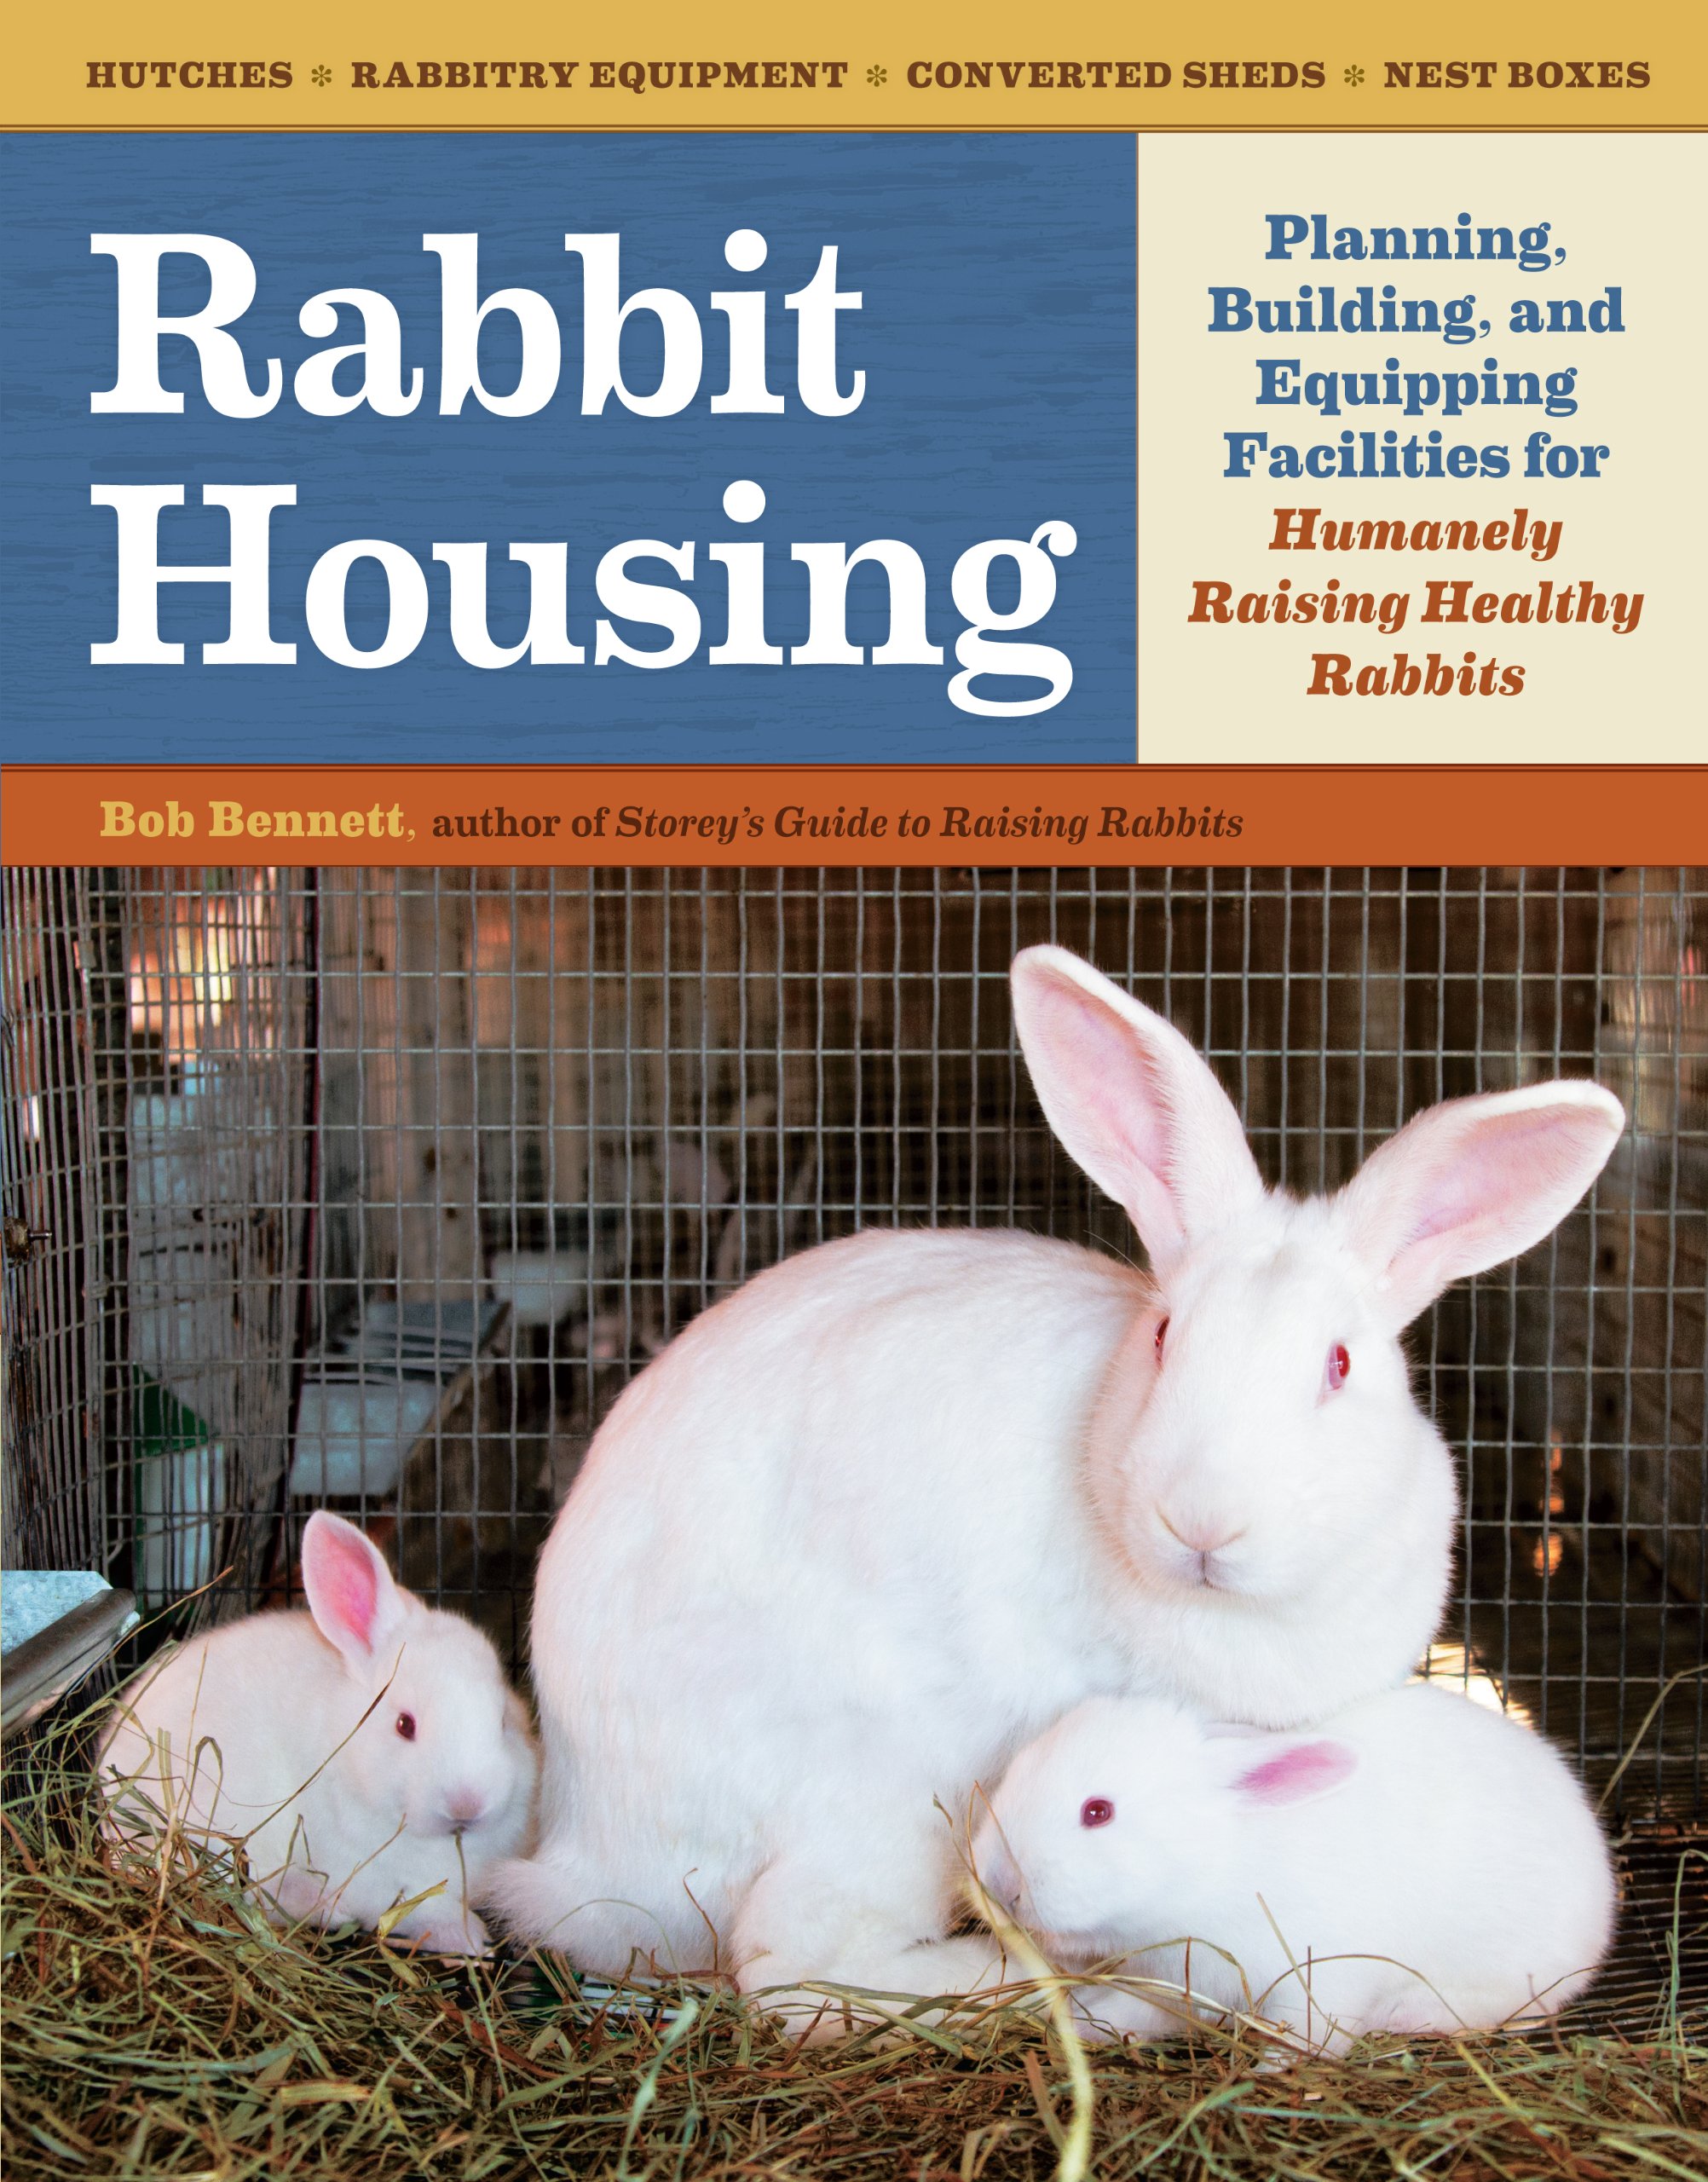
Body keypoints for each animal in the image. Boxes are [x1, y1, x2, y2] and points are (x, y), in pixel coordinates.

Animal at [98, 1509, 539, 1956]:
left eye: (503, 1721)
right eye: (405, 1725)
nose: (469, 1804)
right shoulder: (380, 1883)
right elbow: (420, 1912)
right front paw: (471, 1938)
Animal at [970, 1682, 1617, 2054]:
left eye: (1097, 1812)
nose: (1000, 1882)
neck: (1213, 1871)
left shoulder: (1323, 1975)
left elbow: (1314, 2034)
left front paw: (1276, 2069)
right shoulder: (1173, 1982)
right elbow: (1138, 2010)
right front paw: (1085, 2024)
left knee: (1512, 2006)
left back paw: (1412, 2014)